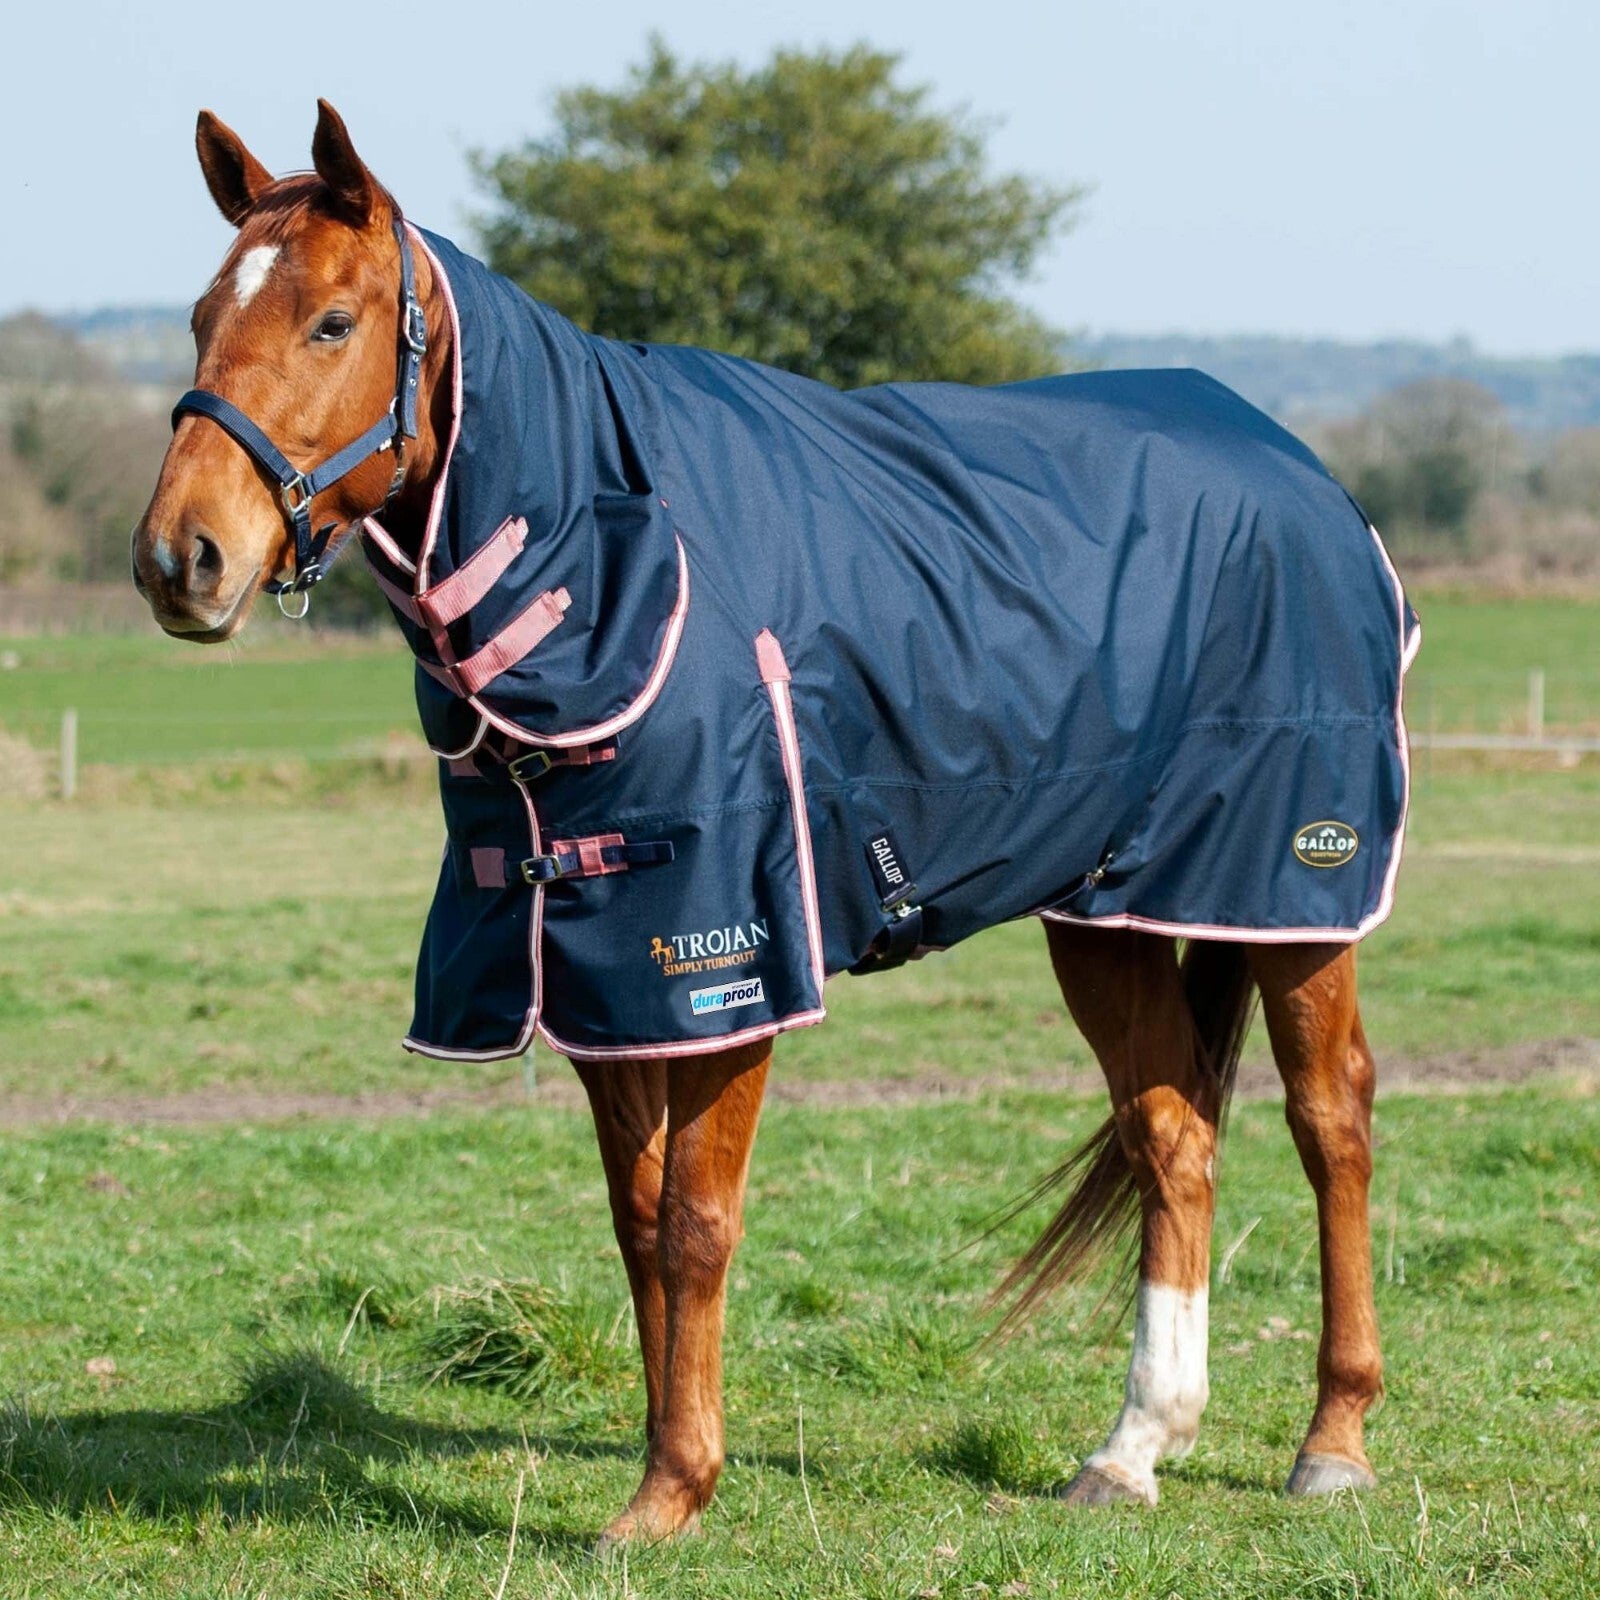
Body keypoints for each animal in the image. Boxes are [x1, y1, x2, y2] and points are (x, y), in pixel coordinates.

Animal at [132, 101, 1406, 1545]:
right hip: (1107, 909)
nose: (180, 560)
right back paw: (1134, 1445)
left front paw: (670, 1490)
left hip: (1292, 888)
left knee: (1331, 1121)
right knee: (1171, 1140)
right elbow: (634, 1221)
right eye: (198, 317)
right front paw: (665, 1456)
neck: (615, 568)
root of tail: (1302, 470)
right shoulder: (598, 971)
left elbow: (695, 1220)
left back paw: (1332, 1437)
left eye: (333, 324)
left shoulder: (726, 963)